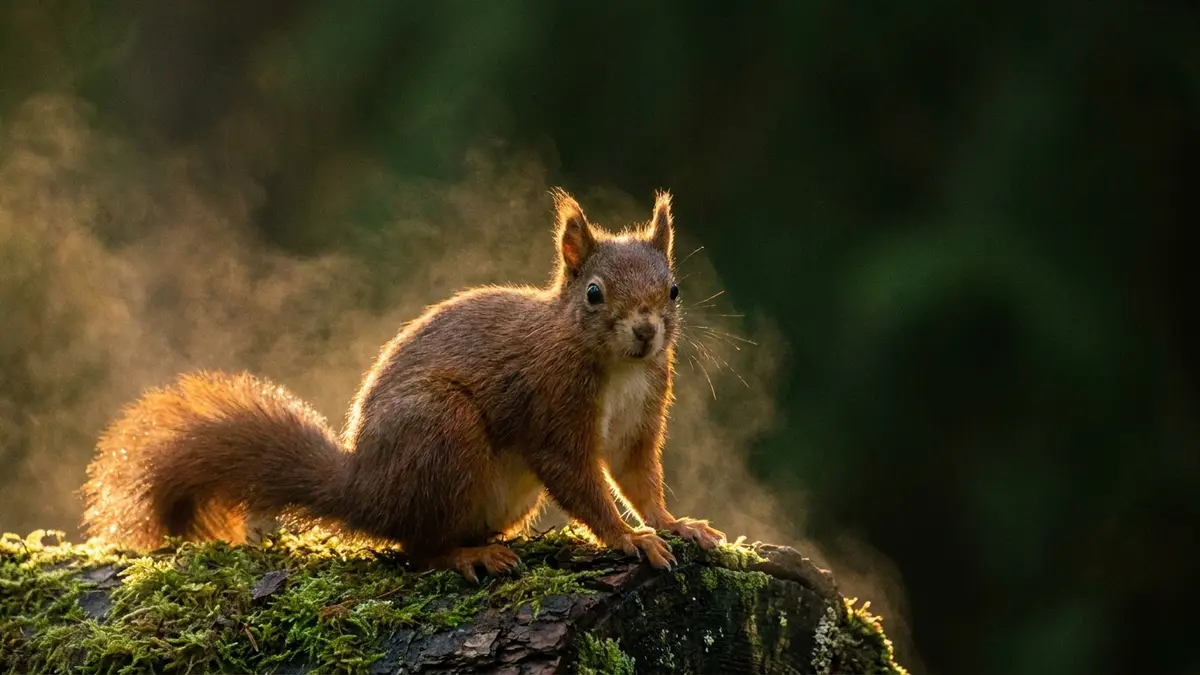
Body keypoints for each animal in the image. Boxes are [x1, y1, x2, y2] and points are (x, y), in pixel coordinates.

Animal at [79, 188, 726, 582]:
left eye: (673, 289)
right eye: (593, 293)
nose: (646, 331)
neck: (619, 368)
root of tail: (367, 487)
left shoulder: (642, 412)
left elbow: (636, 476)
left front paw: (674, 524)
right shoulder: (551, 404)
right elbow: (582, 482)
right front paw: (627, 538)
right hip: (443, 431)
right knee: (416, 546)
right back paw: (470, 555)